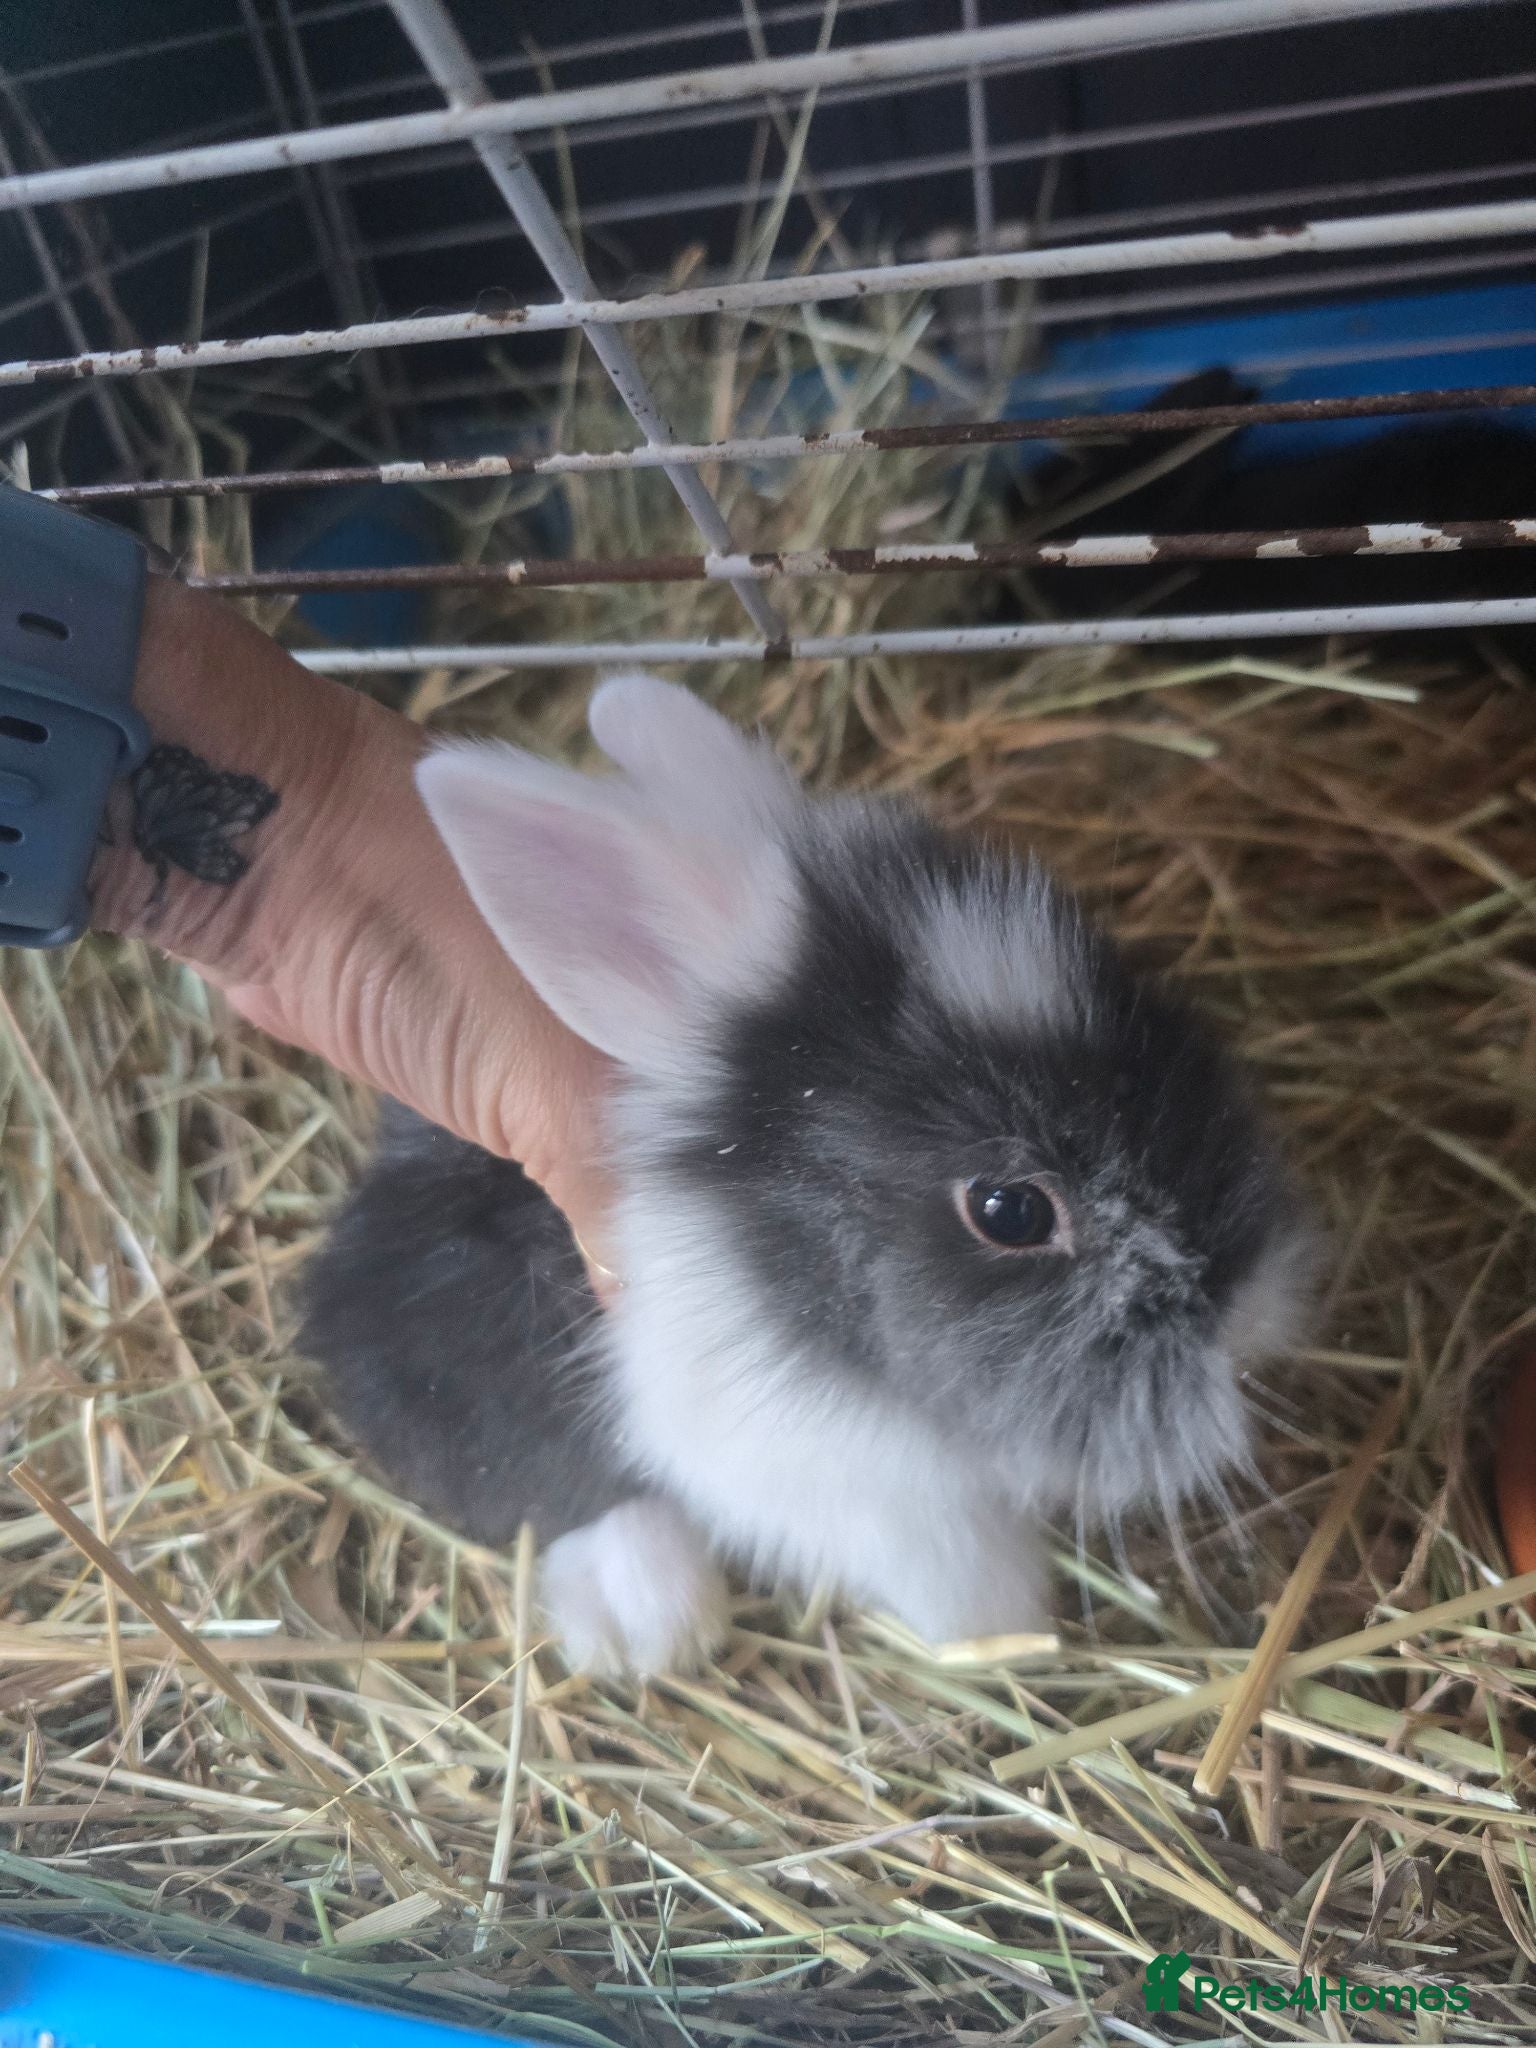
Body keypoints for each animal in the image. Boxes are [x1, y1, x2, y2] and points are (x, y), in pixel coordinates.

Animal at [299, 674, 1312, 1675]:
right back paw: (654, 1620)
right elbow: (949, 1558)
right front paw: (1004, 1627)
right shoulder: (811, 1471)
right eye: (1011, 1210)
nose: (1251, 1312)